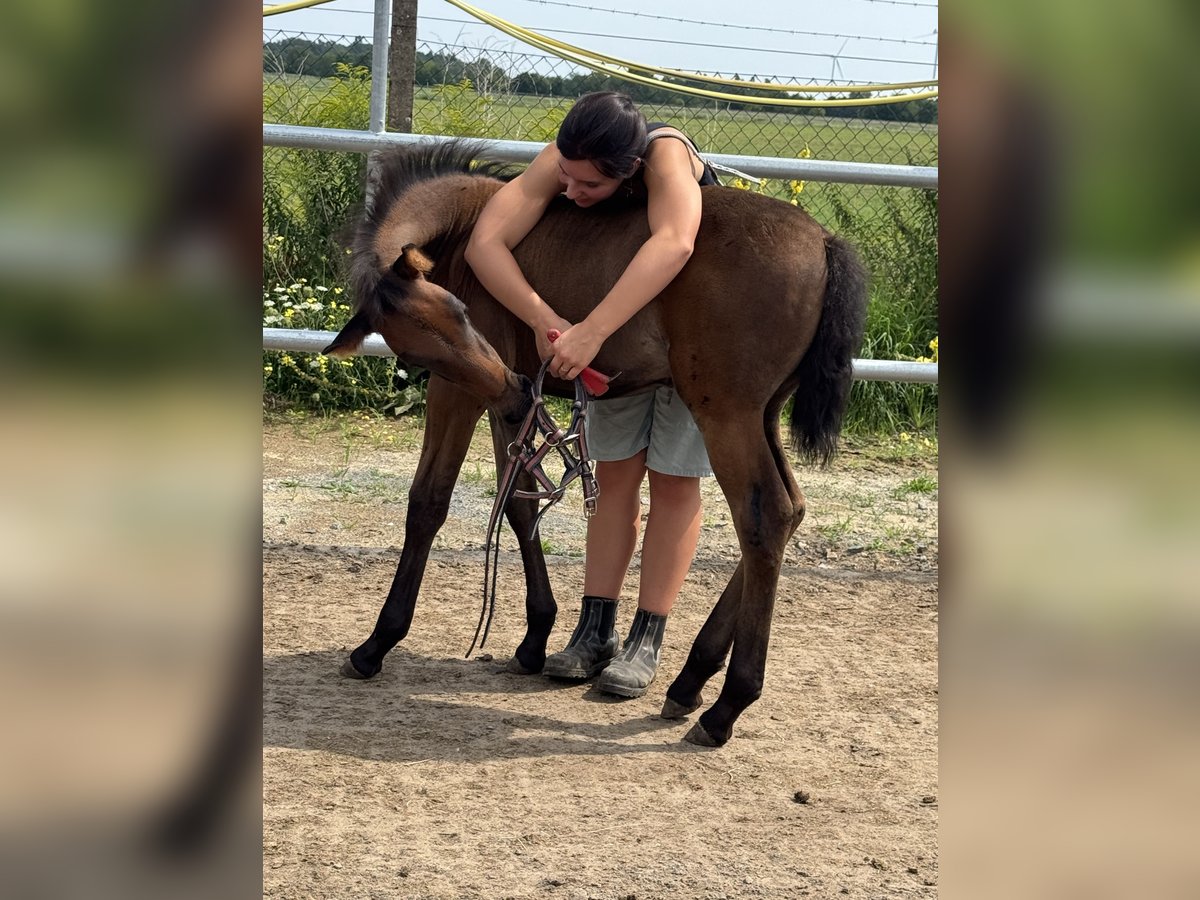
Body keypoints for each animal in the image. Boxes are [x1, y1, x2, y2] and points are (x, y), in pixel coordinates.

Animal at [324, 140, 868, 747]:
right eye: (416, 352)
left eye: (462, 312)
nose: (514, 386)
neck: (466, 227)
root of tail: (824, 243)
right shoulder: (504, 399)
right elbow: (518, 503)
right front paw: (535, 639)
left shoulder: (460, 392)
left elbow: (429, 501)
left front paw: (376, 644)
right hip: (762, 414)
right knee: (790, 510)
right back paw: (691, 678)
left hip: (726, 416)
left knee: (764, 516)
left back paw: (726, 705)